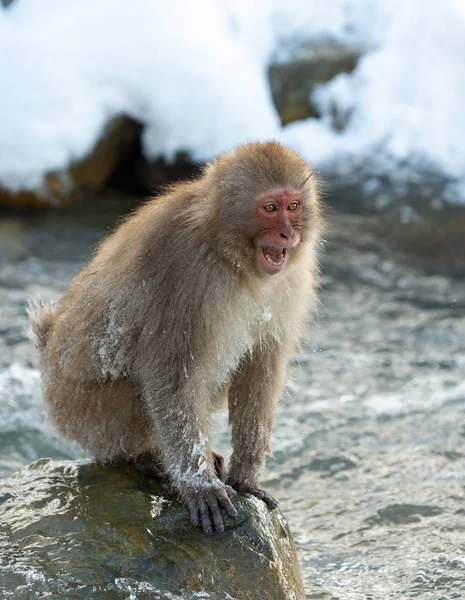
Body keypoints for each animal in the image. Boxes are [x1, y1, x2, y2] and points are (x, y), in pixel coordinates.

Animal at [28, 142, 320, 536]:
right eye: (269, 208)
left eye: (293, 206)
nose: (288, 234)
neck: (225, 252)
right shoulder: (182, 275)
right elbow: (171, 377)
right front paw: (199, 486)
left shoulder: (289, 281)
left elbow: (260, 365)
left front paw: (246, 477)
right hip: (81, 412)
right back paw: (148, 456)